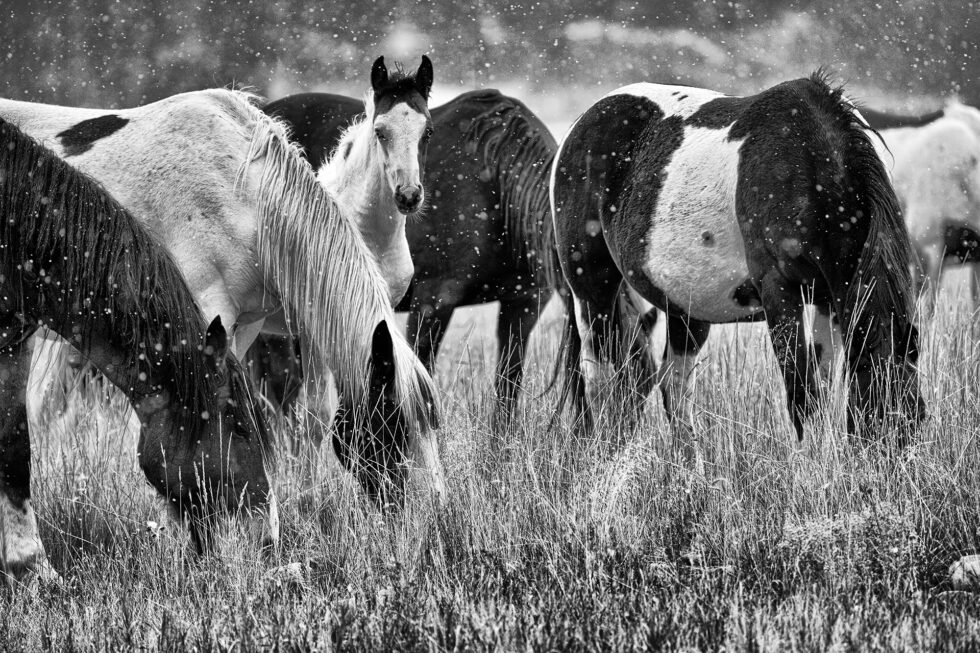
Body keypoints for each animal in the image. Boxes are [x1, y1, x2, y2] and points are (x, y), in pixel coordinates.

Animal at [552, 72, 928, 444]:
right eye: (877, 416)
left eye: (916, 419)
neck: (806, 162)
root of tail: (581, 125)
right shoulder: (780, 290)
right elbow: (802, 393)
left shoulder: (829, 298)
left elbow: (821, 387)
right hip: (591, 290)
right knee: (598, 380)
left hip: (686, 308)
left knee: (674, 387)